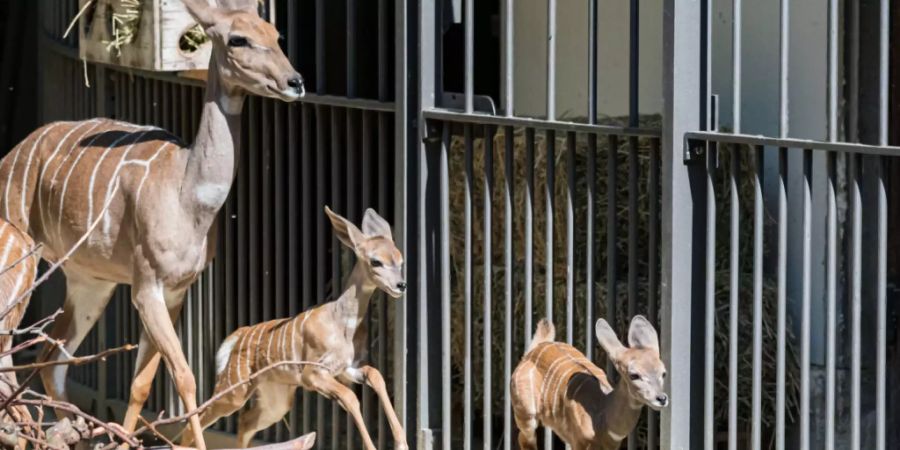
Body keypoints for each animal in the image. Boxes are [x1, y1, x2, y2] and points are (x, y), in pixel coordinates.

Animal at [0, 0, 304, 446]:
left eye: (277, 35)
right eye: (238, 38)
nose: (294, 81)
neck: (188, 195)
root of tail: (11, 156)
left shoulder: (176, 291)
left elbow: (141, 383)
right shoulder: (146, 287)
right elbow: (185, 377)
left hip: (91, 282)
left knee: (52, 357)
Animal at [183, 207, 408, 450]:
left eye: (400, 260)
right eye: (376, 261)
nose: (401, 285)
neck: (342, 324)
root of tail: (238, 336)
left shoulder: (346, 368)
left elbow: (375, 375)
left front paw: (401, 442)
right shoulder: (313, 373)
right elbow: (350, 397)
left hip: (277, 400)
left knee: (245, 421)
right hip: (234, 391)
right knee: (194, 421)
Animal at [510, 316, 664, 450]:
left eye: (664, 373)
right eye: (634, 375)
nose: (662, 398)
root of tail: (531, 351)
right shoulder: (580, 442)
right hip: (526, 415)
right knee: (524, 440)